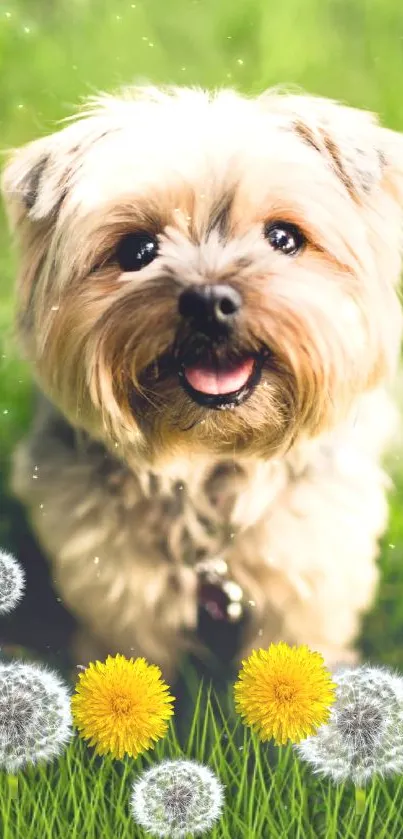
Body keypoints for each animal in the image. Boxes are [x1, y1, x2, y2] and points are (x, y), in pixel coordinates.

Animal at [2, 85, 403, 680]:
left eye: (284, 238)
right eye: (138, 251)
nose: (209, 301)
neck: (211, 460)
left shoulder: (309, 566)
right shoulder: (115, 580)